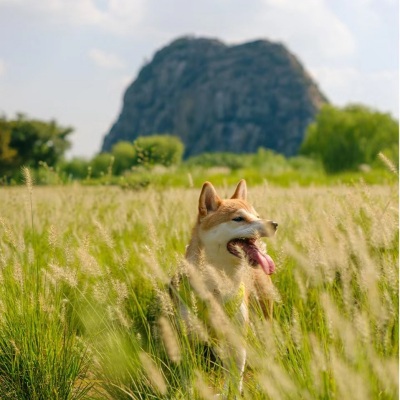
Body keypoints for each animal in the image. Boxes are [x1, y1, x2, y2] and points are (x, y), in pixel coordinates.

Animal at [170, 180, 278, 396]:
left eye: (257, 216)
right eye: (238, 218)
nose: (274, 224)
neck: (216, 286)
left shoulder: (237, 335)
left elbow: (236, 376)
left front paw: (233, 393)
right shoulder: (188, 337)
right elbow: (189, 374)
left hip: (263, 317)